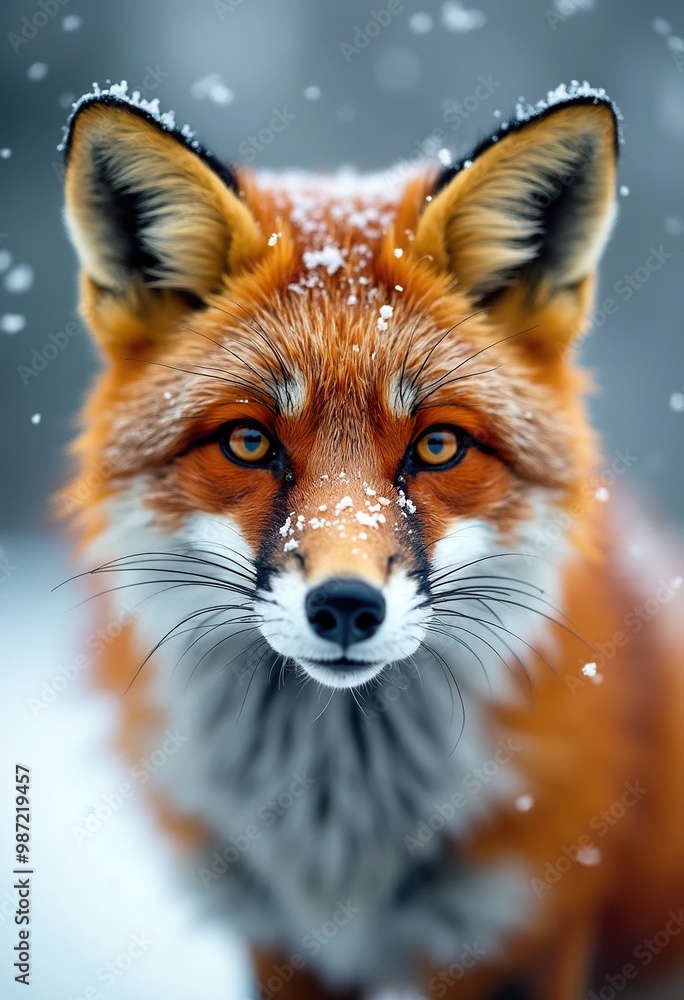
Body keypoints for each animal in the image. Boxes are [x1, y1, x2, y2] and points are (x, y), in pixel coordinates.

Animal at [60, 80, 684, 999]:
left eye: (439, 446)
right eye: (249, 442)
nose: (347, 607)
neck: (342, 829)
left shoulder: (520, 935)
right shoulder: (283, 944)